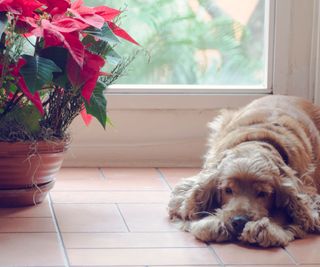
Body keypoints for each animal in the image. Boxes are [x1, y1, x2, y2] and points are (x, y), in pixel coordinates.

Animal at [168, 95, 320, 248]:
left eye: (262, 193)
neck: (258, 140)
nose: (239, 221)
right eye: (228, 190)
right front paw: (214, 223)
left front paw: (266, 228)